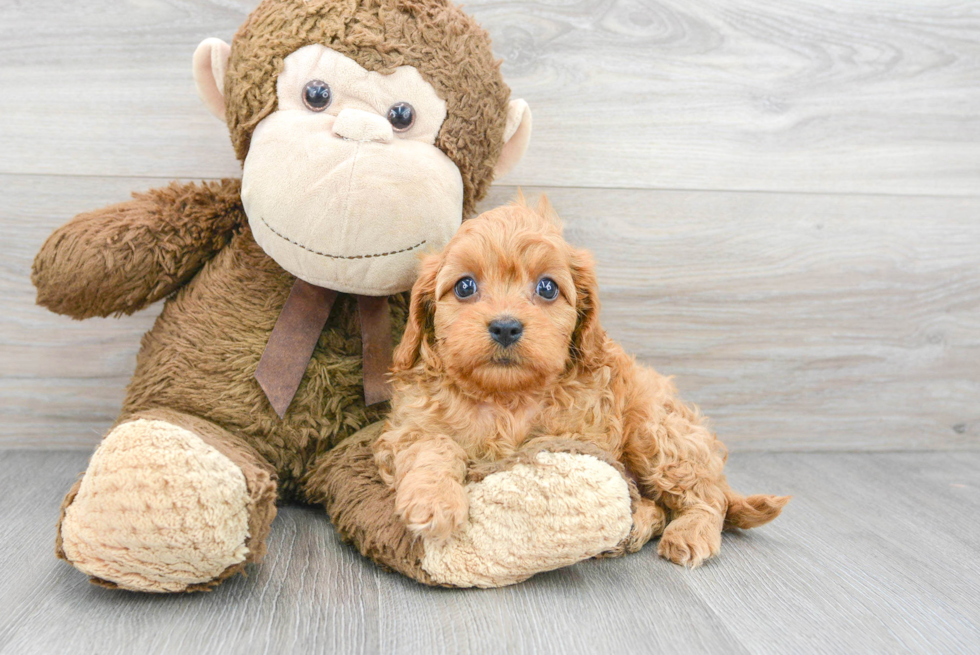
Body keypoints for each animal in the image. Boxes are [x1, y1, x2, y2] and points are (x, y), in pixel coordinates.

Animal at [372, 196, 792, 568]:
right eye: (464, 287)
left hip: (657, 434)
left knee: (706, 496)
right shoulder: (409, 428)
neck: (506, 396)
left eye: (546, 288)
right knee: (660, 504)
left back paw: (689, 533)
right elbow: (434, 445)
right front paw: (435, 500)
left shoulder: (582, 437)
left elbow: (544, 451)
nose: (506, 326)